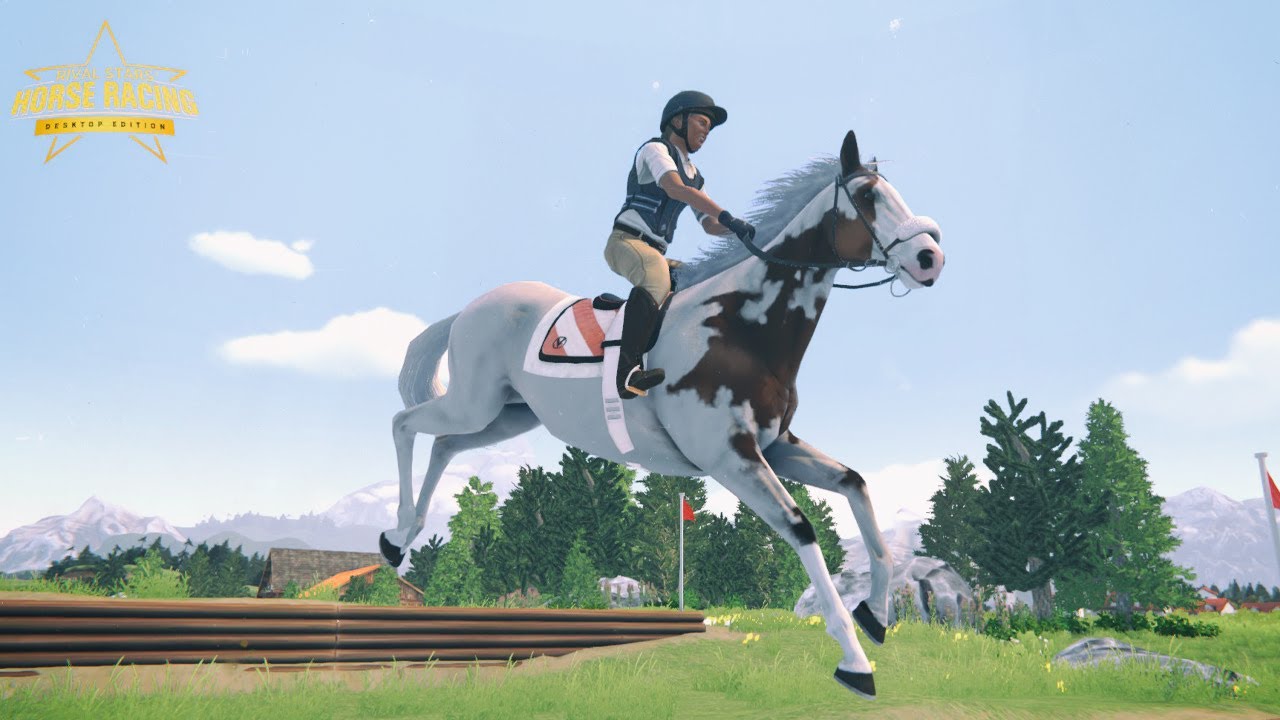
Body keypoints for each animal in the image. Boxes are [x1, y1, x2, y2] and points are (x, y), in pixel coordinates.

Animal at [382, 131, 943, 700]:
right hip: (475, 403)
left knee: (445, 444)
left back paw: (401, 537)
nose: (930, 258)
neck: (742, 327)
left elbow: (857, 487)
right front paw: (855, 662)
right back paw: (396, 536)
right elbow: (801, 528)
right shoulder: (730, 458)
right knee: (404, 424)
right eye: (869, 197)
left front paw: (875, 616)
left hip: (507, 415)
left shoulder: (775, 446)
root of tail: (472, 308)